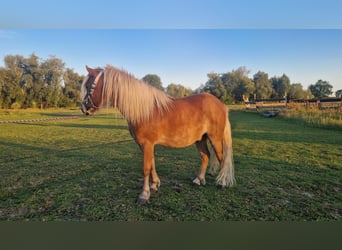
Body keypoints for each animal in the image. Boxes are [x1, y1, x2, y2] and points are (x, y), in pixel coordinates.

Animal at [81, 65, 235, 204]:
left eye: (88, 85)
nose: (84, 108)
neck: (144, 111)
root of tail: (221, 104)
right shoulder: (145, 145)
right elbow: (152, 164)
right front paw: (154, 185)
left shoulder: (147, 144)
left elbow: (146, 168)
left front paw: (144, 195)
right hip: (200, 139)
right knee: (205, 156)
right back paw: (198, 180)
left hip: (215, 139)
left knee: (222, 158)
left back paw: (221, 182)